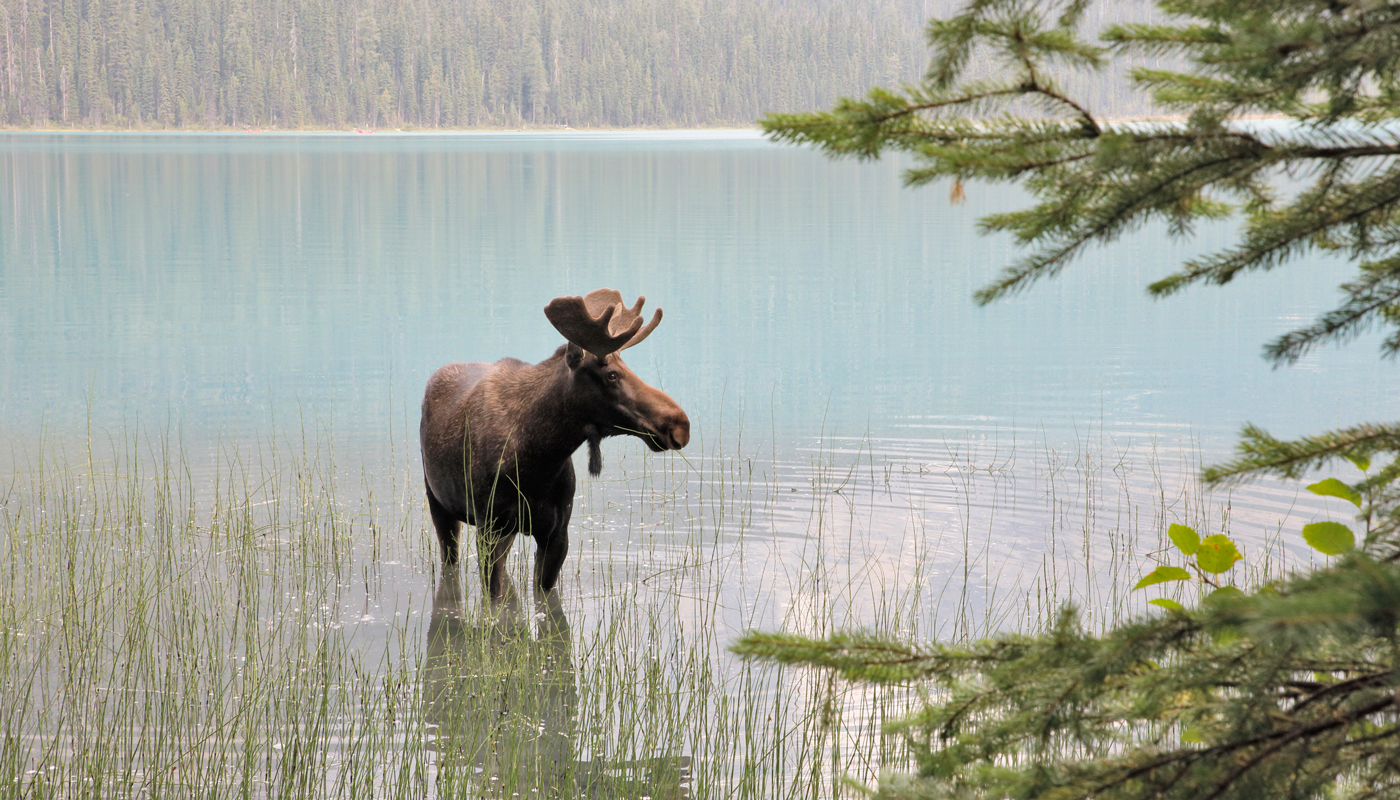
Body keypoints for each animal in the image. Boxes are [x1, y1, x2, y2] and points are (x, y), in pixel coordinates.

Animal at [422, 291, 691, 596]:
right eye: (611, 374)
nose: (680, 424)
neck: (539, 460)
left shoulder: (557, 533)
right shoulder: (489, 527)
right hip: (438, 501)